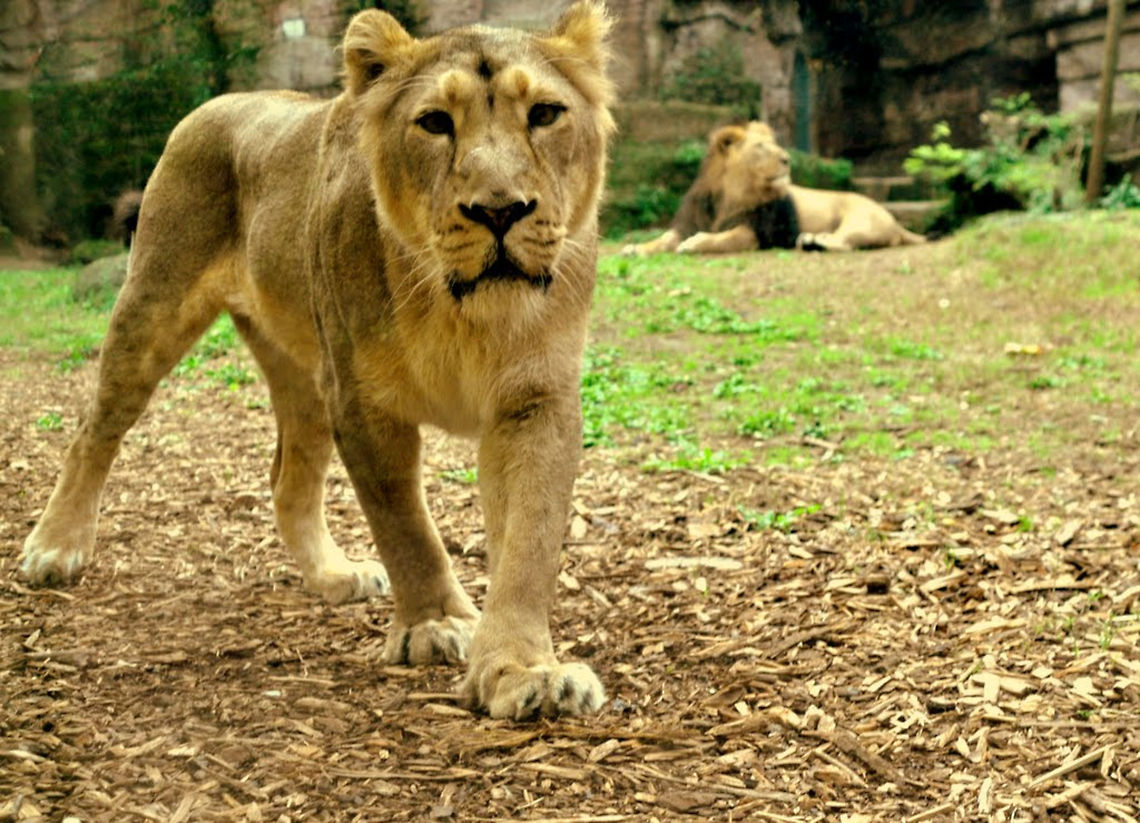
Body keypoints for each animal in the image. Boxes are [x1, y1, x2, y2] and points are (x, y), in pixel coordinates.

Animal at [20, 2, 615, 720]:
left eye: (546, 114)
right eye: (435, 123)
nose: (499, 210)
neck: (461, 313)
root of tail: (222, 102)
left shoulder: (536, 399)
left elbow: (529, 542)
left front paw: (525, 670)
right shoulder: (360, 400)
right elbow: (405, 525)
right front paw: (435, 623)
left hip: (301, 375)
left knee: (288, 478)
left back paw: (336, 575)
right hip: (155, 308)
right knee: (93, 431)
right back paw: (55, 547)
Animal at [624, 121, 926, 255]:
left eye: (775, 145)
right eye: (760, 147)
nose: (787, 159)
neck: (730, 195)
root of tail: (896, 222)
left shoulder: (759, 232)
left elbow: (726, 237)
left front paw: (695, 243)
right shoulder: (691, 220)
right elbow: (665, 238)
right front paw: (636, 247)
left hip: (860, 218)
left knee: (845, 242)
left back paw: (813, 241)